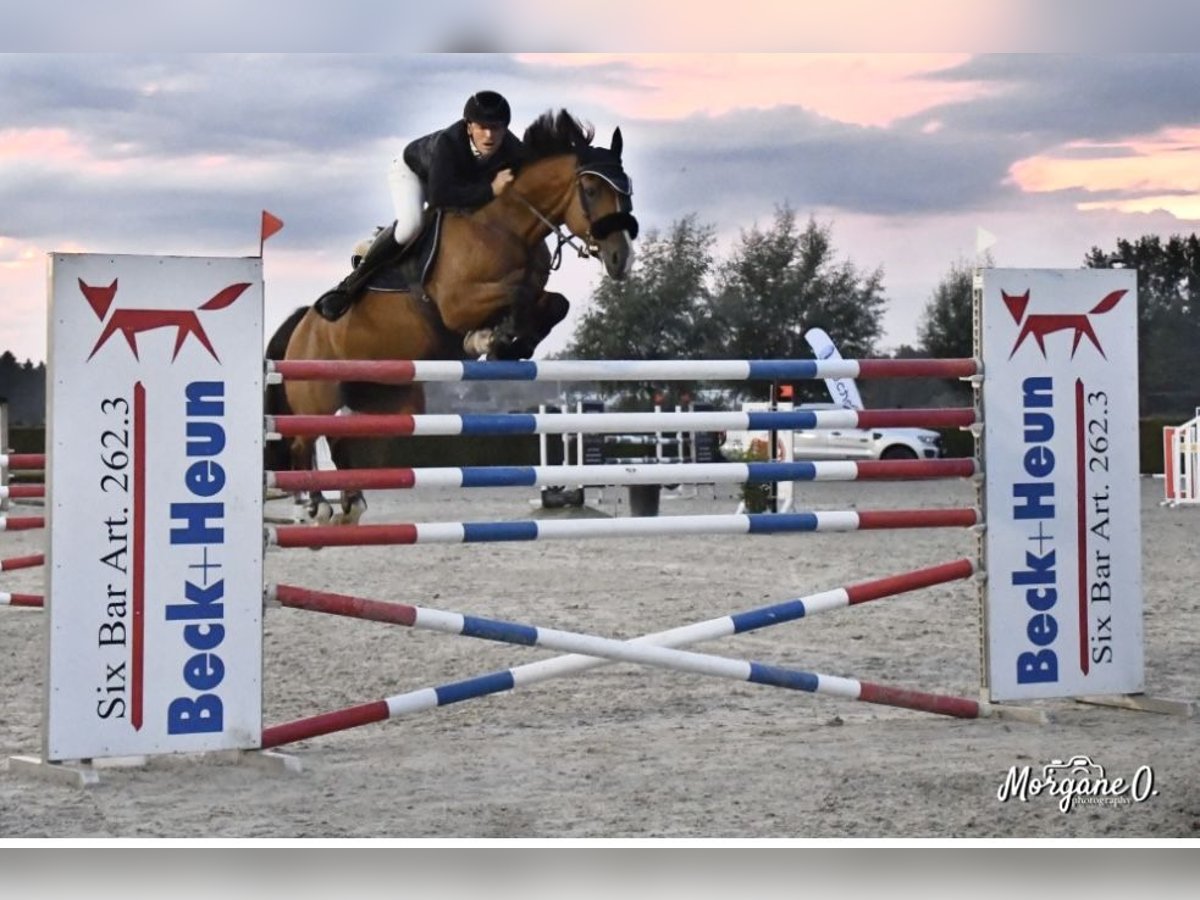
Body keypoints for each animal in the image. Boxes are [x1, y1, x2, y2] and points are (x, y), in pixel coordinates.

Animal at [262, 108, 638, 525]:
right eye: (590, 189)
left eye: (627, 190)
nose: (621, 259)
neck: (507, 226)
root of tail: (302, 323)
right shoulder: (457, 304)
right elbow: (519, 295)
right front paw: (490, 339)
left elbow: (556, 303)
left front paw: (510, 343)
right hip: (318, 392)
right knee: (302, 440)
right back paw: (318, 504)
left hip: (386, 402)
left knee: (342, 439)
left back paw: (351, 502)